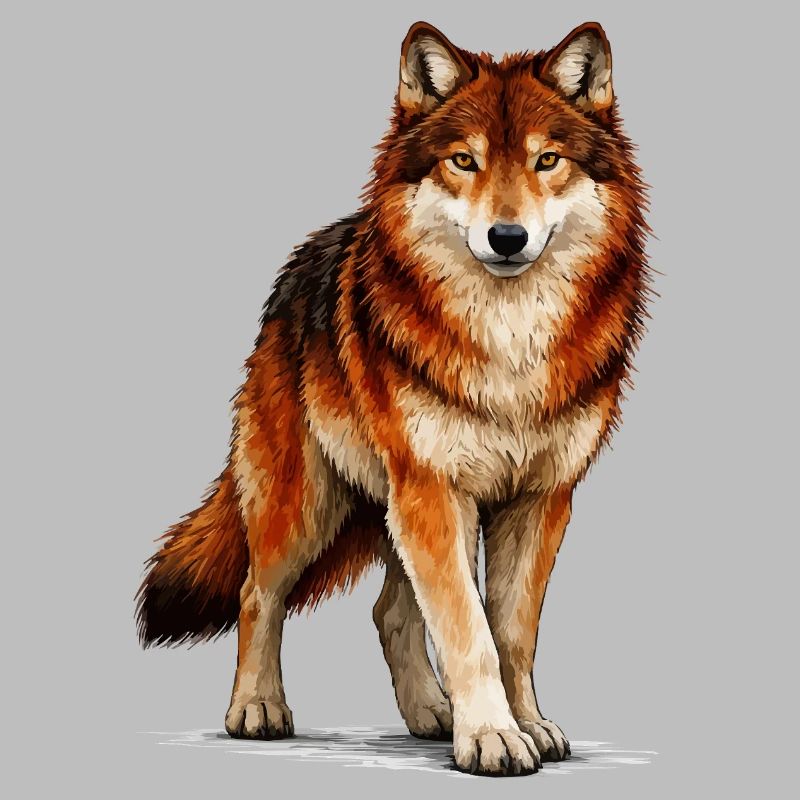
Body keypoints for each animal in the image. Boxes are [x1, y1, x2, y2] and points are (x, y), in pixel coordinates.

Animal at [136, 20, 649, 776]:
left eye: (546, 160)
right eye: (464, 161)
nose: (507, 238)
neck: (509, 342)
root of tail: (302, 263)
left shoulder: (540, 499)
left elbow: (512, 632)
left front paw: (526, 724)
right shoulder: (434, 490)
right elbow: (470, 631)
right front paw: (492, 738)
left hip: (399, 509)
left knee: (389, 612)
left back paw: (432, 715)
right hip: (311, 504)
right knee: (259, 592)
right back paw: (257, 709)